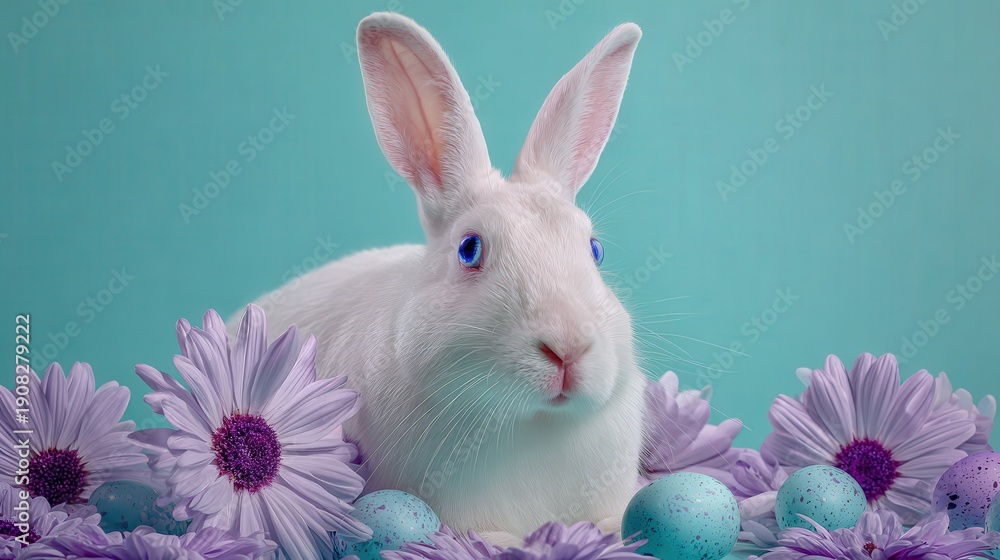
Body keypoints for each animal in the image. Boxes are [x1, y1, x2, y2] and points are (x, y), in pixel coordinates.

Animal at [228, 12, 647, 543]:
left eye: (595, 250)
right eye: (470, 249)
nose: (568, 348)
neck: (532, 422)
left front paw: (614, 530)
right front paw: (501, 541)